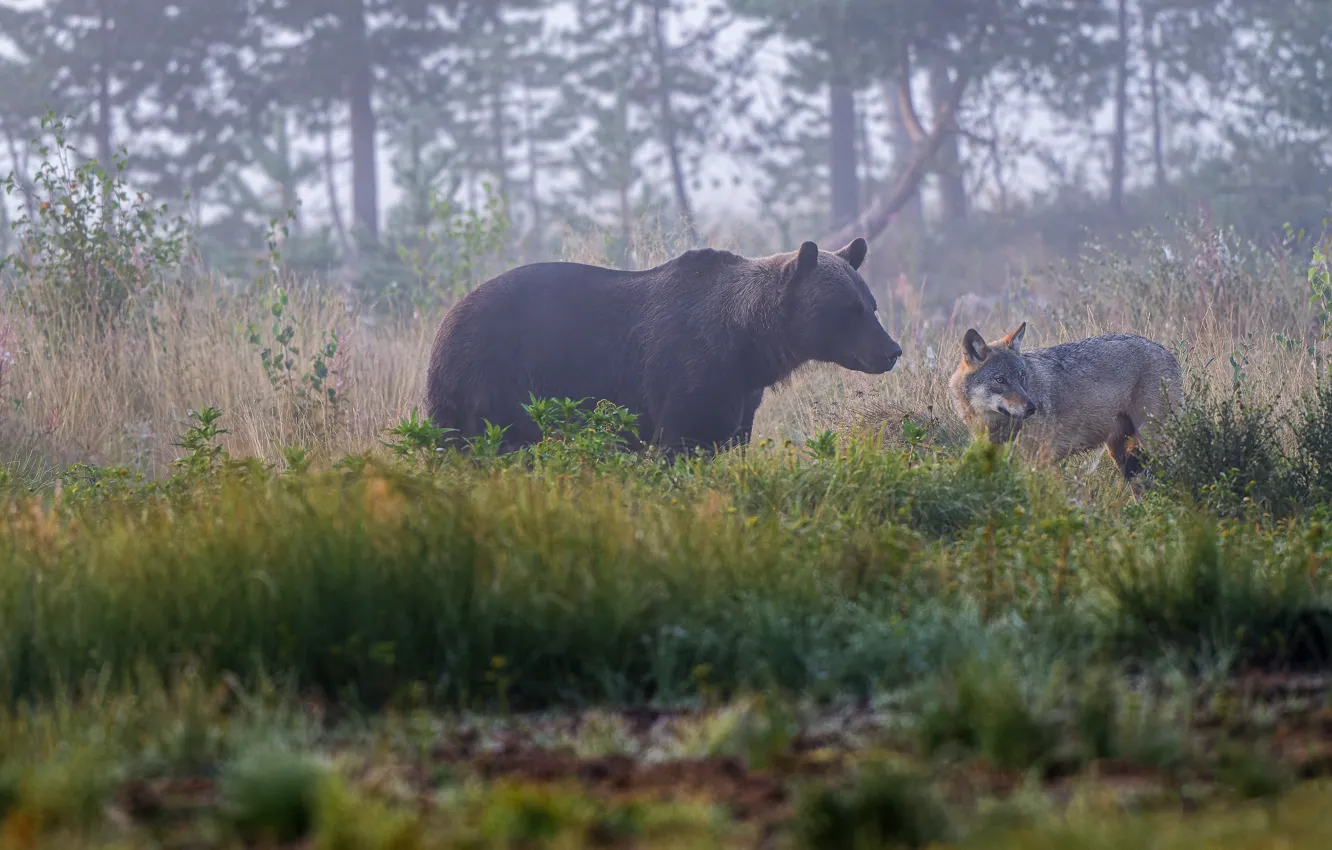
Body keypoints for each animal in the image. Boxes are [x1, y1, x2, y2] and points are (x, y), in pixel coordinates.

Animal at [425, 237, 903, 457]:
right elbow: (686, 439)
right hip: (490, 379)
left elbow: (730, 437)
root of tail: (447, 317)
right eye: (848, 309)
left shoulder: (742, 394)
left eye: (871, 304)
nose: (892, 350)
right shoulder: (689, 370)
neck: (749, 343)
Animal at [947, 322, 1182, 482]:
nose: (1032, 408)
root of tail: (1165, 350)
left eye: (1022, 377)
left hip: (1154, 446)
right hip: (1122, 455)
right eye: (1000, 380)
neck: (994, 426)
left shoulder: (1038, 465)